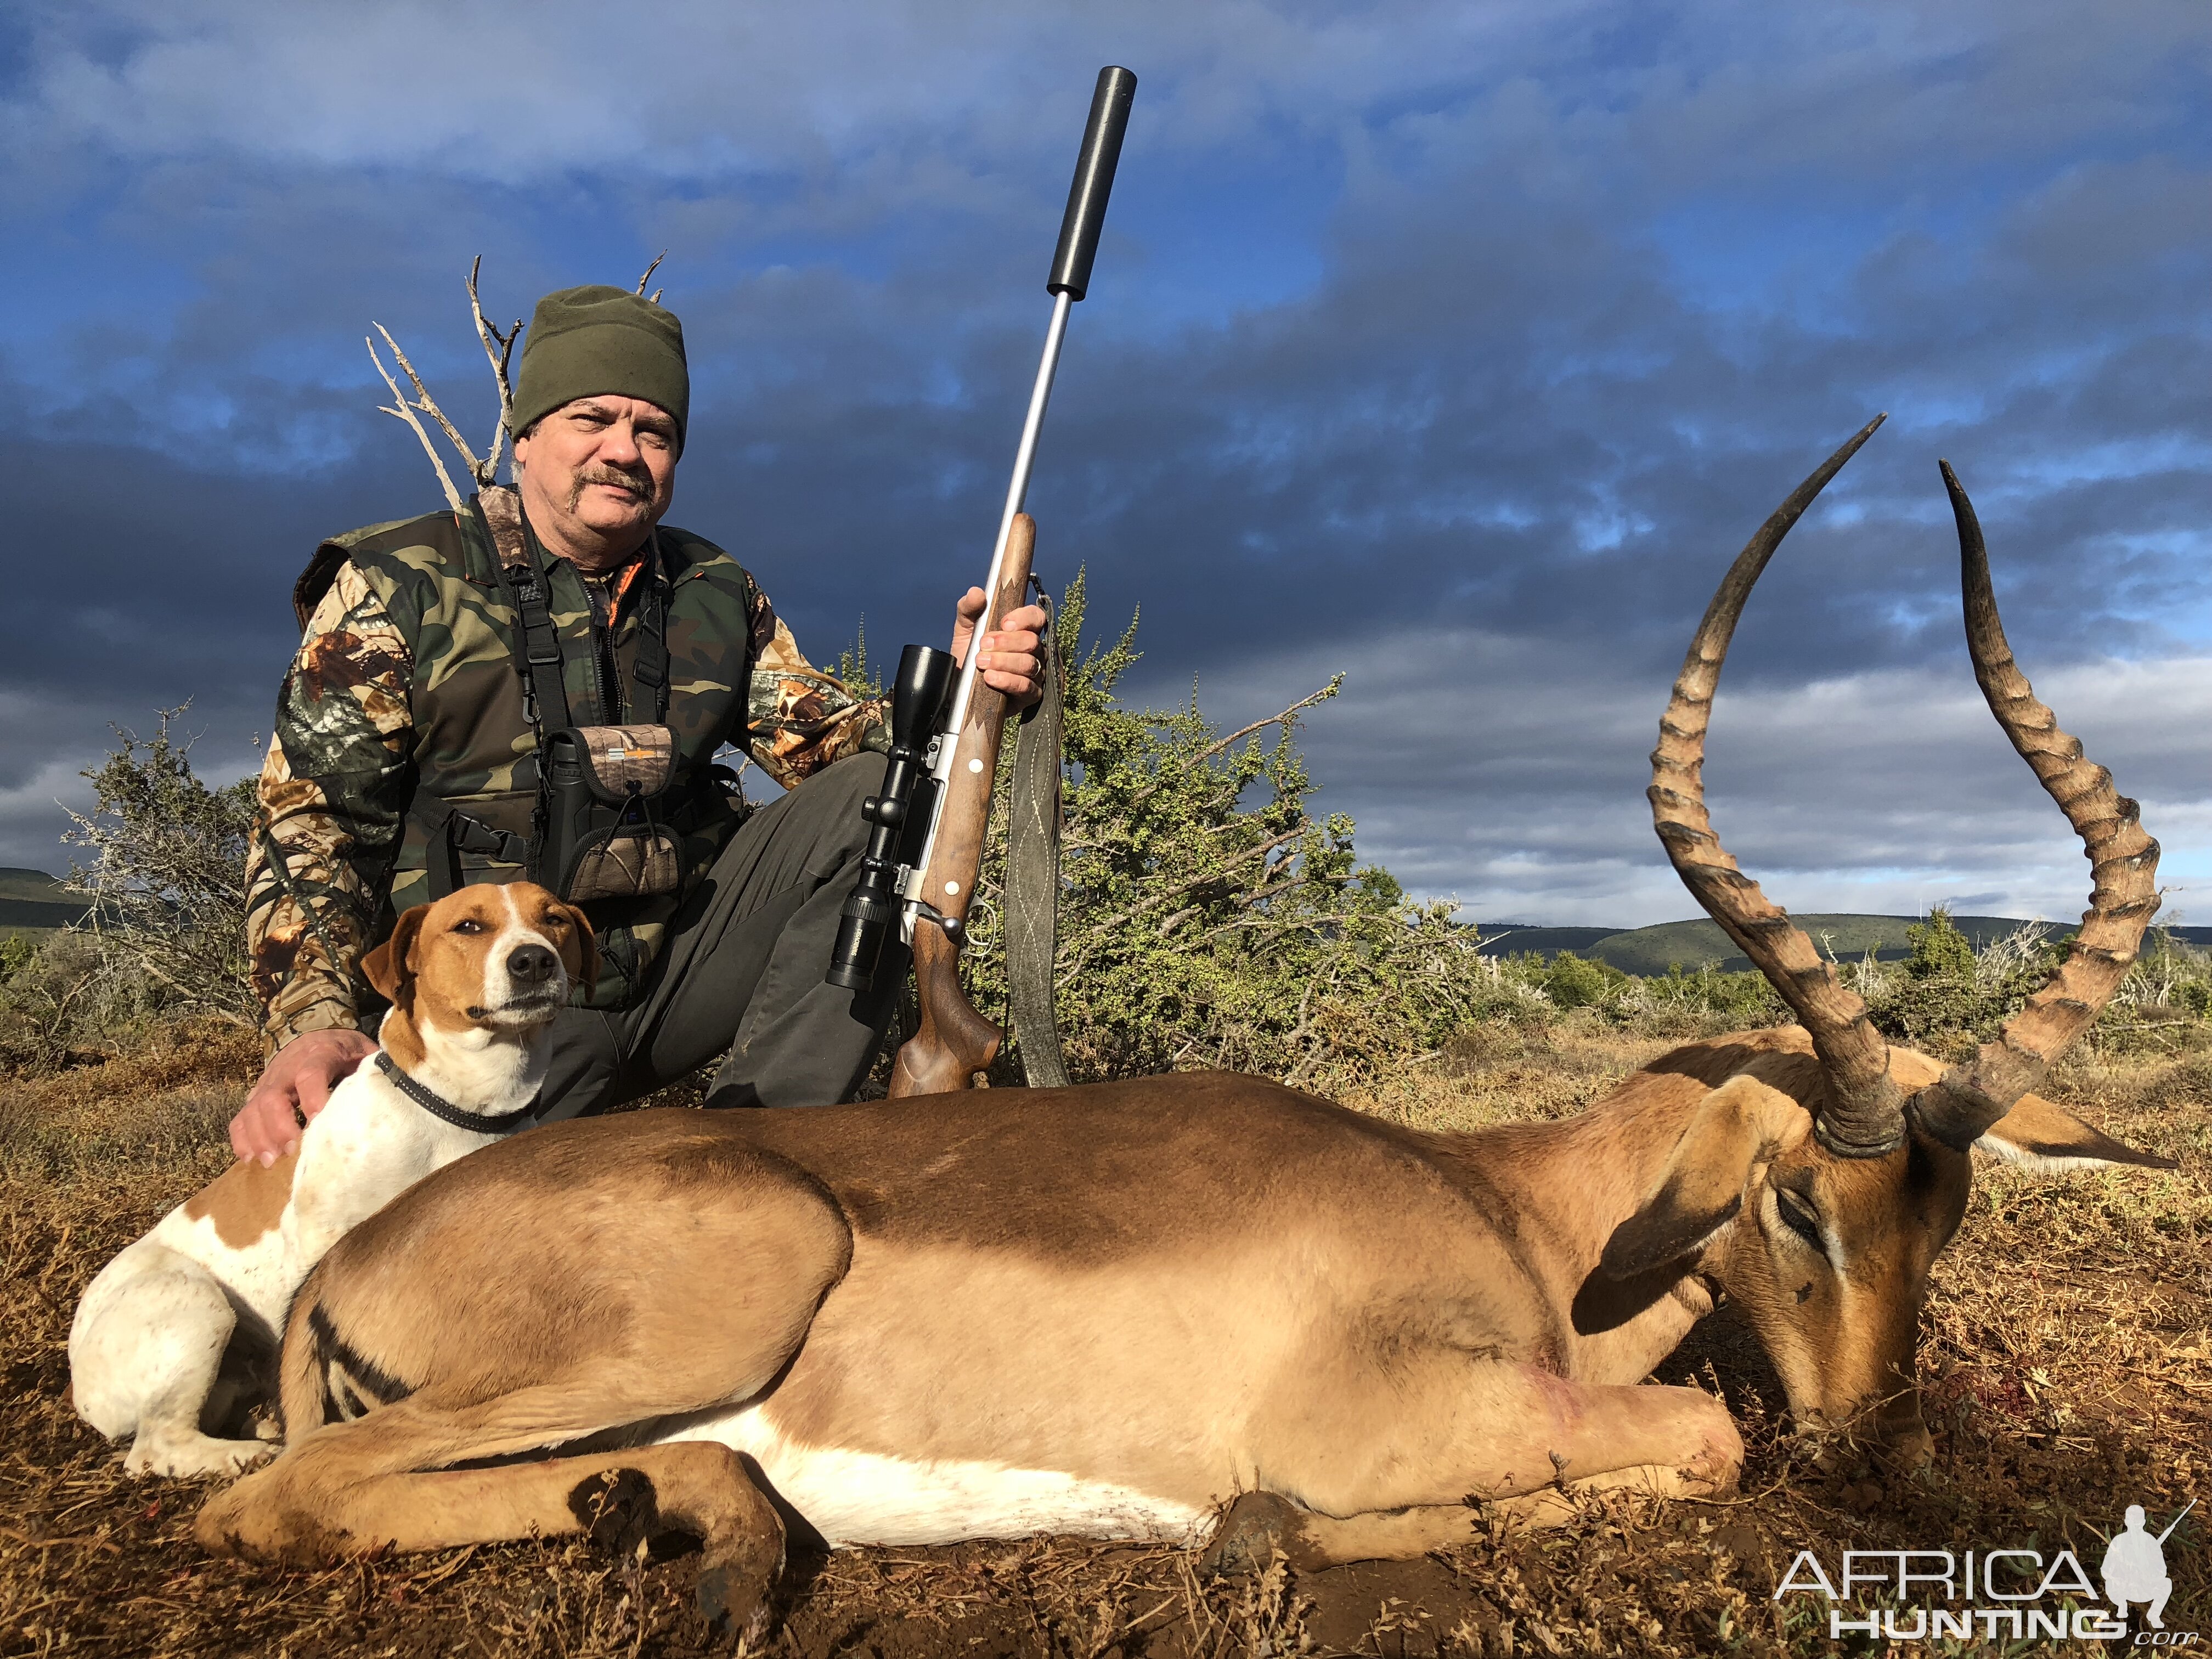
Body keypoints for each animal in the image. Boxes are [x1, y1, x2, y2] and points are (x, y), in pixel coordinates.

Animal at [67, 884, 588, 1477]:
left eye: (555, 918)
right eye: (468, 927)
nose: (534, 961)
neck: (457, 1110)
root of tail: (77, 1375)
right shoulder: (324, 1243)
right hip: (193, 1302)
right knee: (154, 1446)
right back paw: (243, 1454)